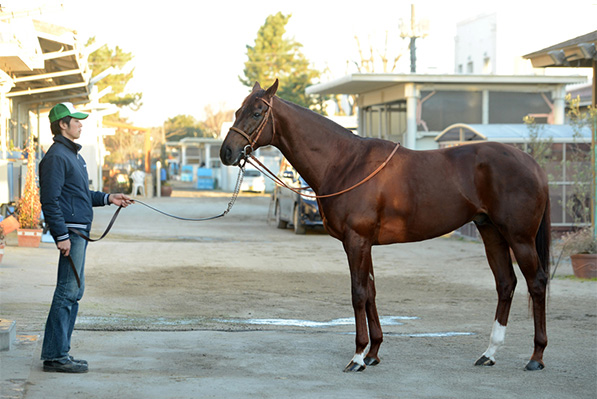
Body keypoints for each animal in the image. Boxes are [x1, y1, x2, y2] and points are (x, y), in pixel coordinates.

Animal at [219, 80, 548, 372]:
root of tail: (532, 162)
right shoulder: (364, 244)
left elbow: (358, 294)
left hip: (519, 237)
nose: (227, 153)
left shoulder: (356, 241)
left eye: (257, 112)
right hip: (491, 232)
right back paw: (489, 353)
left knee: (536, 283)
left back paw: (536, 356)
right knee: (506, 284)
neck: (345, 162)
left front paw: (357, 357)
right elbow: (371, 293)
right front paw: (374, 352)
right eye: (237, 111)